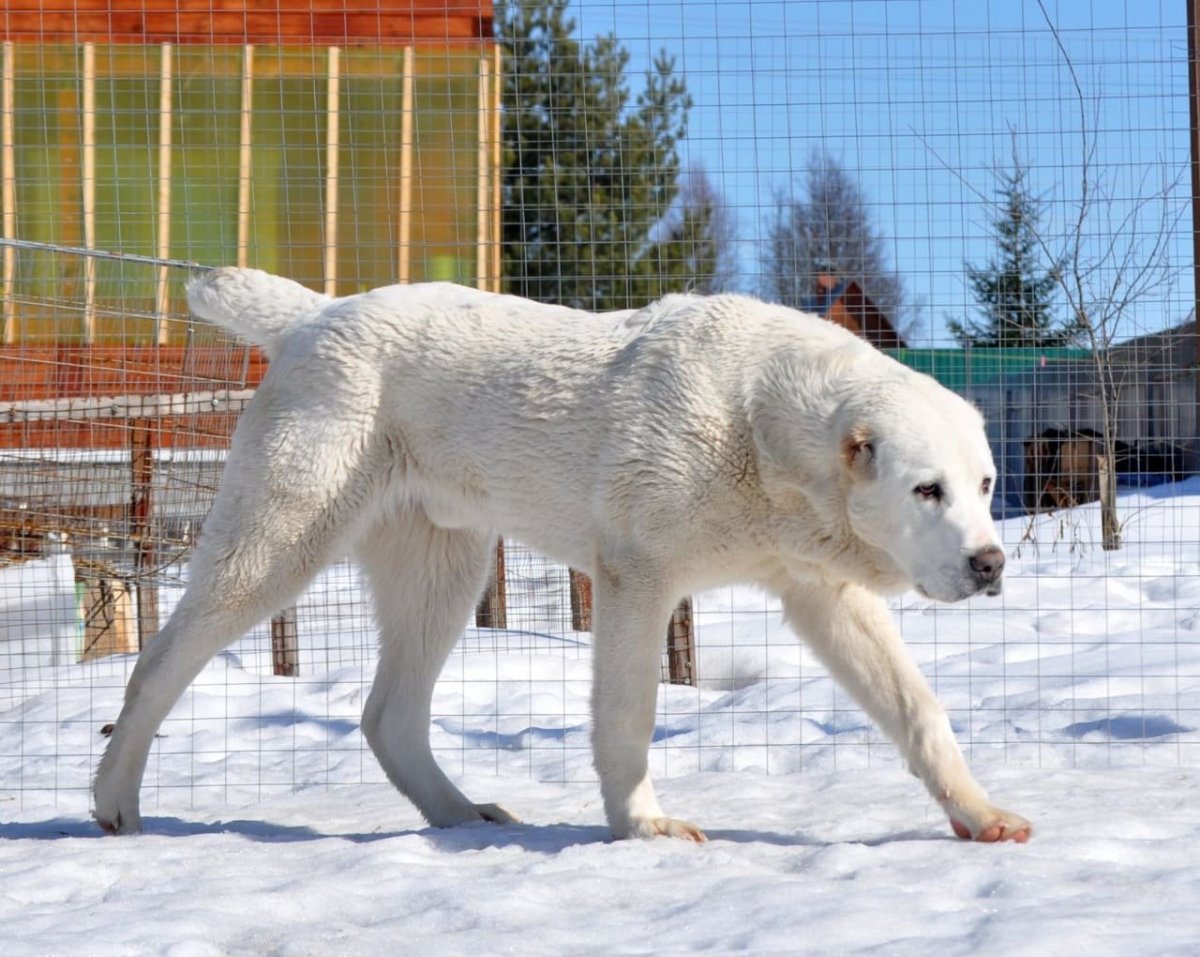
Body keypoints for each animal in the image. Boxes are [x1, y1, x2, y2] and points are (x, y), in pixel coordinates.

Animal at [93, 266, 1032, 844]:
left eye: (985, 484)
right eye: (926, 490)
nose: (991, 563)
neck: (758, 427)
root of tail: (315, 313)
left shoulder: (824, 594)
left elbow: (919, 712)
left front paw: (979, 812)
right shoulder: (635, 579)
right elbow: (628, 719)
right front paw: (643, 827)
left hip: (446, 570)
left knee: (388, 715)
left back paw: (461, 815)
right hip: (276, 546)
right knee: (157, 666)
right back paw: (114, 799)